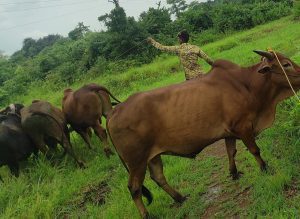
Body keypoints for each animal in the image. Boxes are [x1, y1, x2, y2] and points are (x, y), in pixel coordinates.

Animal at [106, 50, 300, 217]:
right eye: (286, 64)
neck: (246, 85)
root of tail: (113, 113)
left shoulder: (229, 132)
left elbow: (231, 152)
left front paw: (234, 173)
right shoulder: (243, 127)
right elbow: (254, 150)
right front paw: (265, 168)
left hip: (152, 156)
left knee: (158, 177)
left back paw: (180, 198)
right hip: (136, 161)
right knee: (134, 188)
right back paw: (147, 214)